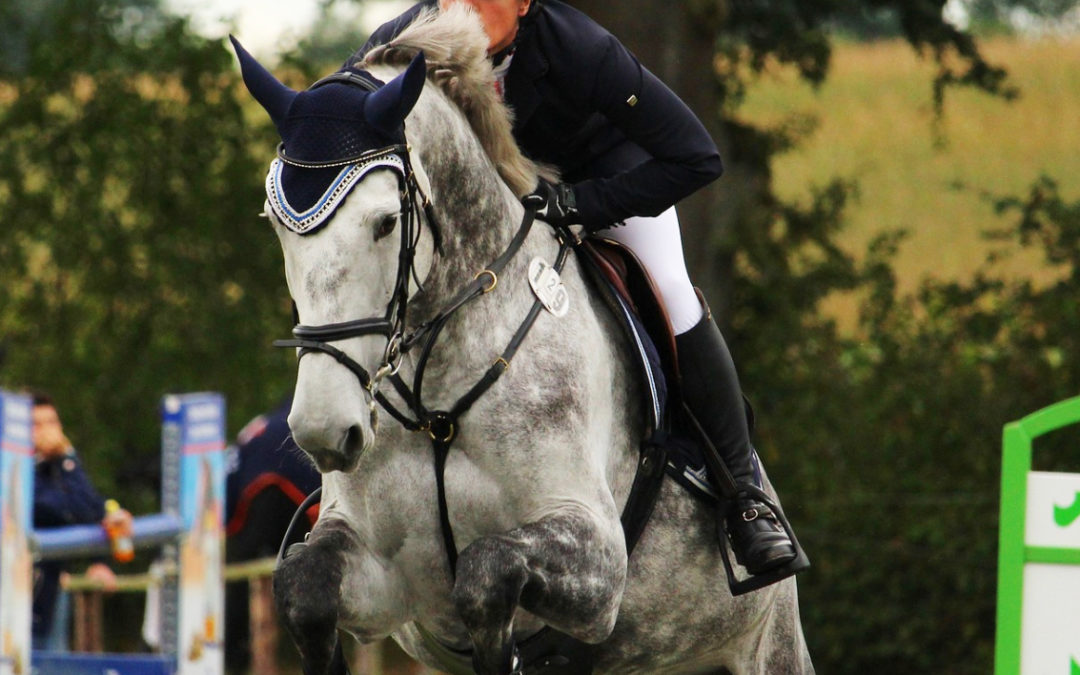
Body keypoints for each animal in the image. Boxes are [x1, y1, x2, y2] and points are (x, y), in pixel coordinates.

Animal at [232, 6, 812, 673]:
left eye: (385, 222)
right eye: (275, 224)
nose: (324, 431)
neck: (437, 407)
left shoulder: (596, 562)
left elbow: (488, 573)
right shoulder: (384, 578)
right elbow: (305, 588)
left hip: (766, 641)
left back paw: (758, 528)